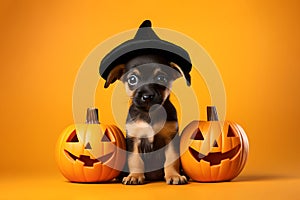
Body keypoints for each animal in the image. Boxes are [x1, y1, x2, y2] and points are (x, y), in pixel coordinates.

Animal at [104, 54, 191, 185]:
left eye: (161, 78)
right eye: (132, 79)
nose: (147, 96)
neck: (149, 114)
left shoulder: (170, 139)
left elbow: (172, 160)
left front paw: (174, 175)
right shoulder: (134, 140)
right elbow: (135, 160)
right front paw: (134, 176)